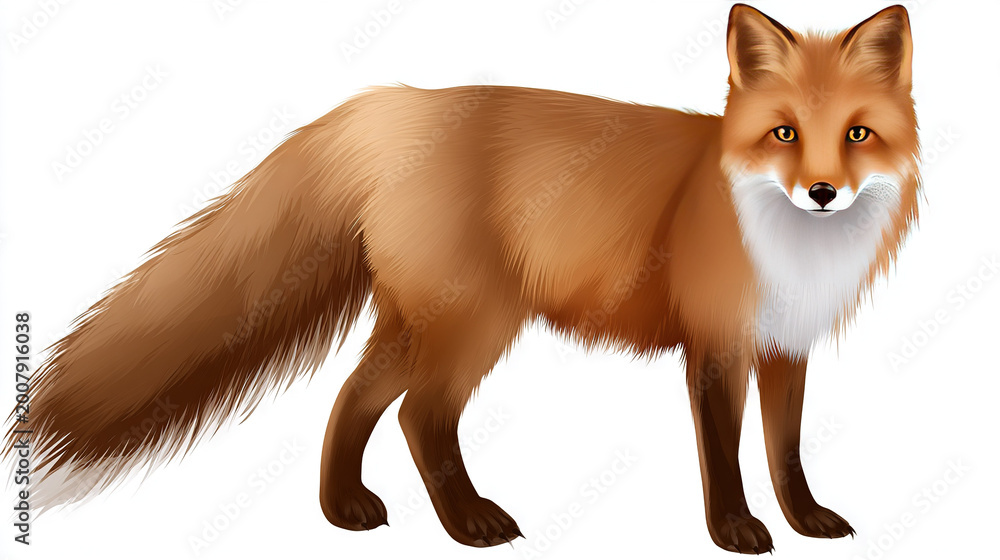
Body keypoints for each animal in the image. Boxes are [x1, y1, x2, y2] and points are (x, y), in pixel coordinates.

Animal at [5, 3, 919, 554]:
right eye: (785, 133)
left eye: (857, 134)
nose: (823, 192)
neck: (790, 245)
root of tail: (396, 102)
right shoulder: (717, 345)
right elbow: (727, 457)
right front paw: (735, 530)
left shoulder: (786, 346)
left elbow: (786, 451)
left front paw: (806, 521)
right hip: (474, 323)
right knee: (419, 417)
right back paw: (467, 523)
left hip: (419, 323)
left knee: (354, 398)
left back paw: (345, 510)